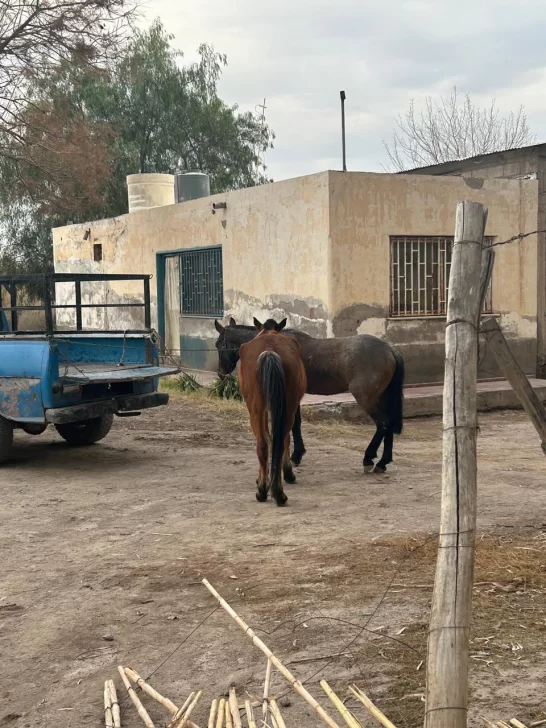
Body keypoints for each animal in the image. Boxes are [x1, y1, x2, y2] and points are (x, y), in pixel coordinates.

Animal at [214, 317, 404, 473]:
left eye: (219, 345)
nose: (221, 373)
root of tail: (389, 350)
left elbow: (294, 424)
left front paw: (296, 455)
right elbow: (296, 423)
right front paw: (298, 454)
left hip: (366, 398)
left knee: (383, 423)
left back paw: (368, 458)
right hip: (383, 397)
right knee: (388, 424)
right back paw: (383, 462)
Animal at [237, 317, 307, 506]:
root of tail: (269, 351)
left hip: (257, 408)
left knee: (264, 442)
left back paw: (264, 489)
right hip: (284, 407)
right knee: (277, 440)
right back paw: (277, 491)